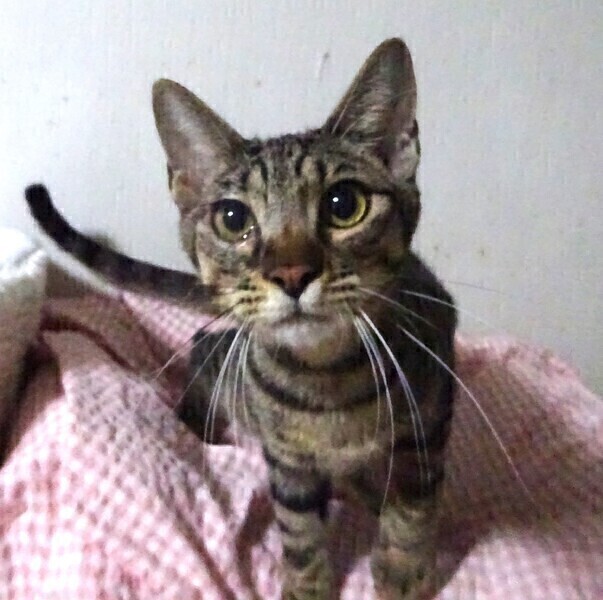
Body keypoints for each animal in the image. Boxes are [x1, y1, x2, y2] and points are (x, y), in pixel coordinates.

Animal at [26, 38, 457, 600]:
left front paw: (403, 568)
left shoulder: (432, 411)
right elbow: (297, 527)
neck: (329, 379)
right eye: (233, 219)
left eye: (344, 205)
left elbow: (413, 499)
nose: (291, 272)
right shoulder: (286, 459)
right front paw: (307, 586)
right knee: (199, 347)